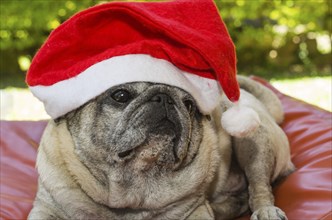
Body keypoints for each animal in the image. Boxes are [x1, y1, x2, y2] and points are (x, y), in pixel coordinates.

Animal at [27, 76, 294, 220]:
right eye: (120, 95)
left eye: (189, 104)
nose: (165, 97)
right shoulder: (46, 209)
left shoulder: (195, 212)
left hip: (253, 142)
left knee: (259, 188)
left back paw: (265, 210)